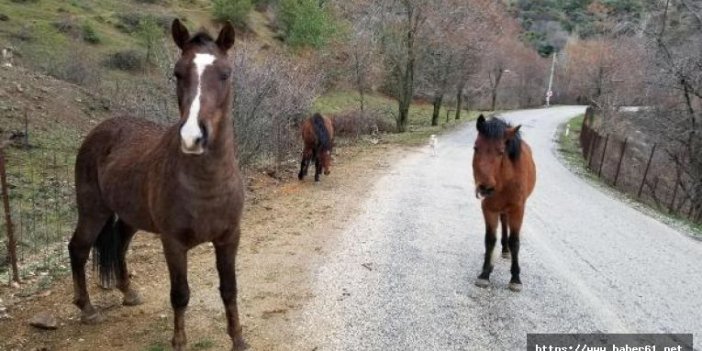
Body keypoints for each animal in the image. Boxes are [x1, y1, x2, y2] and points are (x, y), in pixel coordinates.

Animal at [66, 20, 248, 351]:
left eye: (225, 74)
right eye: (177, 73)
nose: (192, 138)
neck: (206, 186)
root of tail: (101, 129)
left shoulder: (229, 238)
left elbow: (229, 289)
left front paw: (238, 339)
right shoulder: (173, 243)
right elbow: (180, 294)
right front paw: (179, 341)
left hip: (128, 217)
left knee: (119, 246)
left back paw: (128, 293)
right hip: (92, 211)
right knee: (78, 249)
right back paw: (87, 309)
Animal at [472, 115, 540, 292]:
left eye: (501, 152)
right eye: (476, 148)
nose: (485, 187)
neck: (504, 180)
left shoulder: (518, 210)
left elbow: (515, 241)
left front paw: (515, 278)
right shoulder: (489, 209)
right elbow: (490, 240)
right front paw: (485, 273)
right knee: (503, 222)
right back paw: (503, 249)